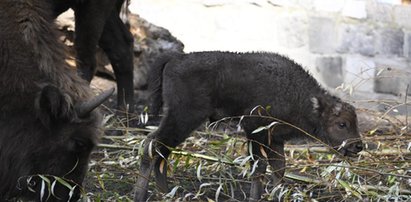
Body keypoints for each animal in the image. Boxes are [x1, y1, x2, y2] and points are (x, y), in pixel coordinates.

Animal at [134, 51, 364, 200]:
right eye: (342, 124)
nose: (357, 146)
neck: (299, 96)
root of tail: (175, 58)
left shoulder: (275, 139)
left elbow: (279, 169)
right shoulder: (255, 130)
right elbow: (258, 167)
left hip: (180, 122)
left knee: (162, 151)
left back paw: (166, 194)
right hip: (183, 117)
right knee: (152, 146)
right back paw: (142, 196)